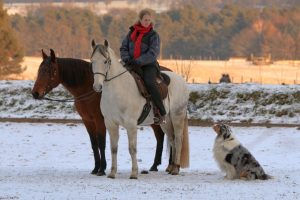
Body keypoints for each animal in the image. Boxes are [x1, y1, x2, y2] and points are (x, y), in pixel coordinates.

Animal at [31, 49, 165, 176]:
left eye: (49, 71)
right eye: (39, 70)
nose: (35, 93)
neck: (90, 89)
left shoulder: (100, 120)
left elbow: (101, 143)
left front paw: (102, 169)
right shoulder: (87, 121)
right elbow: (94, 143)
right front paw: (95, 168)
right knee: (160, 137)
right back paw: (155, 165)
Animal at [90, 39, 189, 179]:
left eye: (105, 61)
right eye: (92, 61)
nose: (97, 86)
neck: (118, 90)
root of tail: (182, 81)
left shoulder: (131, 124)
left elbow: (132, 148)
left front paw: (134, 173)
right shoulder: (110, 123)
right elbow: (113, 148)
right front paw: (112, 173)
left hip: (177, 117)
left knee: (178, 140)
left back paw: (176, 169)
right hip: (166, 121)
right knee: (172, 139)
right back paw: (171, 168)